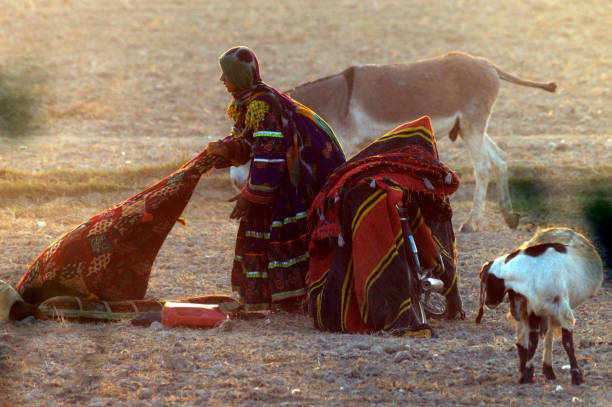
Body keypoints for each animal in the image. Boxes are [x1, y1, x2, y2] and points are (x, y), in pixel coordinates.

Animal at [474, 230, 604, 386]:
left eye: (489, 281)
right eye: (511, 293)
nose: (488, 302)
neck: (533, 270)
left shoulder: (564, 312)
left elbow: (567, 343)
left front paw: (576, 376)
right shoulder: (533, 309)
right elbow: (533, 342)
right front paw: (527, 375)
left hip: (551, 312)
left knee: (549, 335)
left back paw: (549, 370)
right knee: (534, 337)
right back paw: (542, 369)